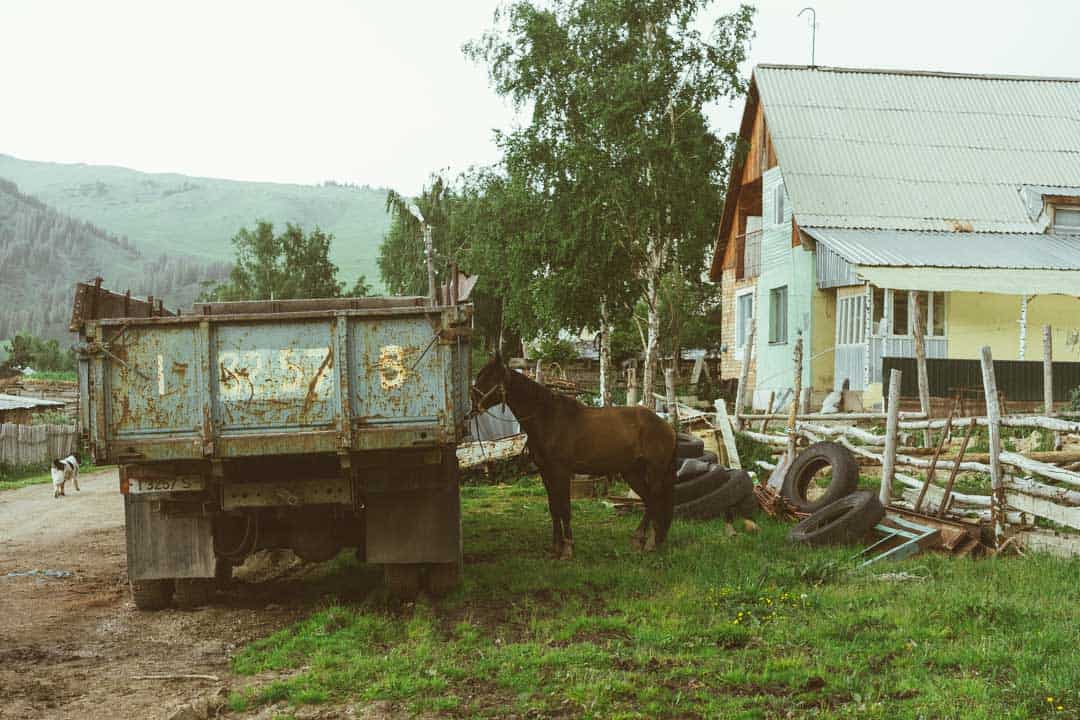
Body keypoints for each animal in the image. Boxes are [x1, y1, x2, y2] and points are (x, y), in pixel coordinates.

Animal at [470, 354, 677, 559]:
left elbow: (565, 508)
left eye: (489, 377)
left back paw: (646, 542)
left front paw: (567, 548)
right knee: (650, 501)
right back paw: (648, 541)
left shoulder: (561, 472)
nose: (472, 404)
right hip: (632, 473)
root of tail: (666, 426)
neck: (548, 418)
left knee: (654, 500)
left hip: (654, 471)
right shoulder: (546, 472)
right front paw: (556, 547)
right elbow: (554, 508)